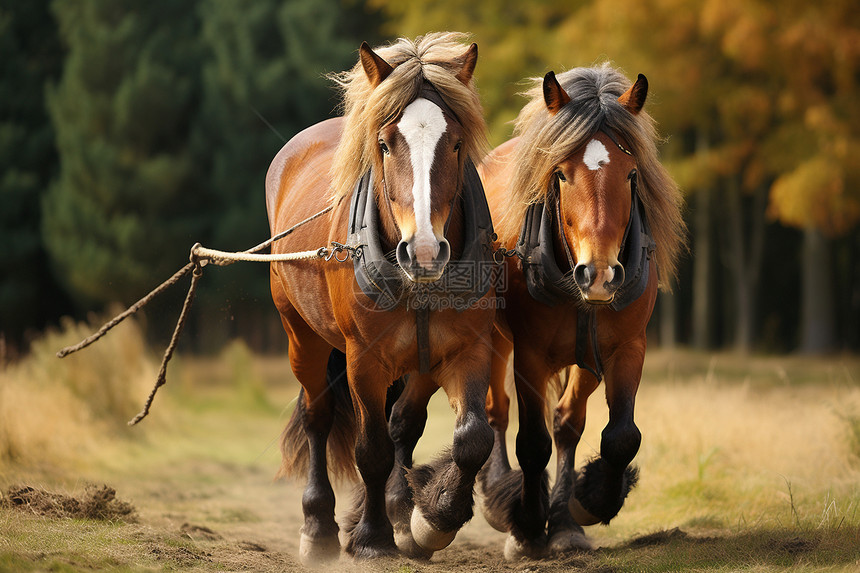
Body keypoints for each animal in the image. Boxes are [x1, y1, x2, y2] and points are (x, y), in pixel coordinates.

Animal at [268, 32, 498, 564]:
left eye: (456, 143)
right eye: (385, 144)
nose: (425, 251)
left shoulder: (462, 351)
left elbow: (470, 438)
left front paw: (427, 519)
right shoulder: (364, 361)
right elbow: (370, 449)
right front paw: (372, 538)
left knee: (403, 424)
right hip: (302, 336)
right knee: (317, 417)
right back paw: (319, 527)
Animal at [478, 65, 684, 556]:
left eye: (631, 174)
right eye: (561, 175)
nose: (600, 274)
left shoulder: (623, 349)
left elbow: (618, 436)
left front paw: (584, 506)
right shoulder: (530, 354)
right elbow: (531, 442)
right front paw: (527, 526)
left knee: (567, 423)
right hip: (494, 338)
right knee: (497, 411)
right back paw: (499, 498)